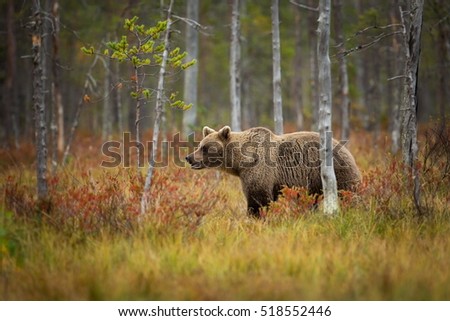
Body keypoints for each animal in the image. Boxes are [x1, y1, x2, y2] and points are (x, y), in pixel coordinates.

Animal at [186, 125, 362, 215]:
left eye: (205, 148)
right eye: (200, 145)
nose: (189, 157)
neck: (241, 162)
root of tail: (345, 148)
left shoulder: (260, 170)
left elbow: (258, 199)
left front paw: (255, 218)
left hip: (338, 170)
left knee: (349, 191)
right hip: (315, 181)